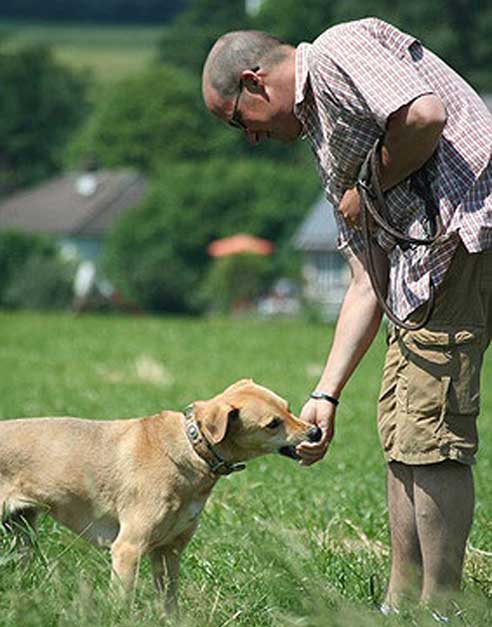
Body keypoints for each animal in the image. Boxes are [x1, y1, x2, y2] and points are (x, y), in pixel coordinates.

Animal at [0, 380, 320, 616]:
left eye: (289, 409)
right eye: (272, 423)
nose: (316, 431)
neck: (191, 449)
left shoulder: (169, 550)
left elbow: (169, 602)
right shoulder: (127, 549)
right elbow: (122, 602)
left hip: (22, 532)